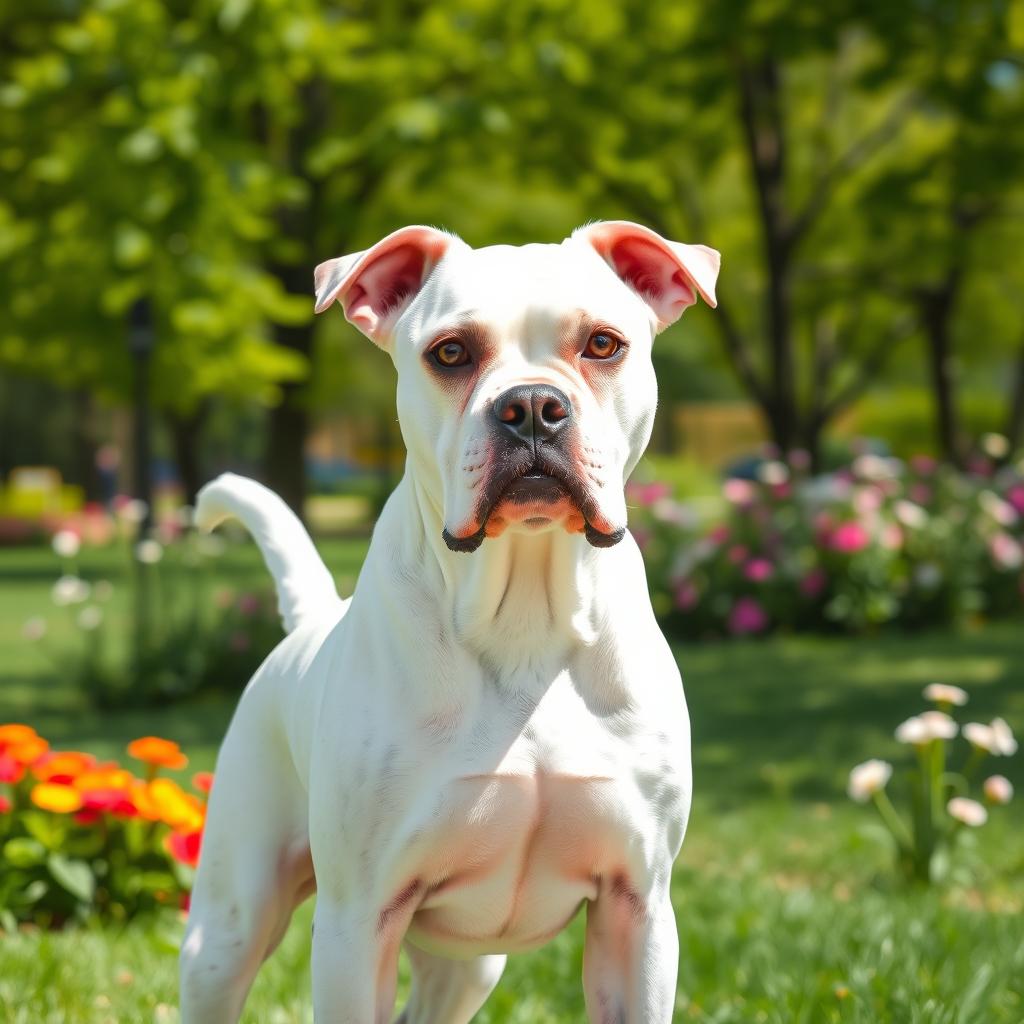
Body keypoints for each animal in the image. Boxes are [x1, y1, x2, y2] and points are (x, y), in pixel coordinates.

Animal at [180, 222, 716, 1024]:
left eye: (603, 343)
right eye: (452, 353)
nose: (533, 405)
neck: (526, 613)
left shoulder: (638, 912)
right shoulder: (357, 923)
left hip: (469, 964)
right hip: (227, 931)